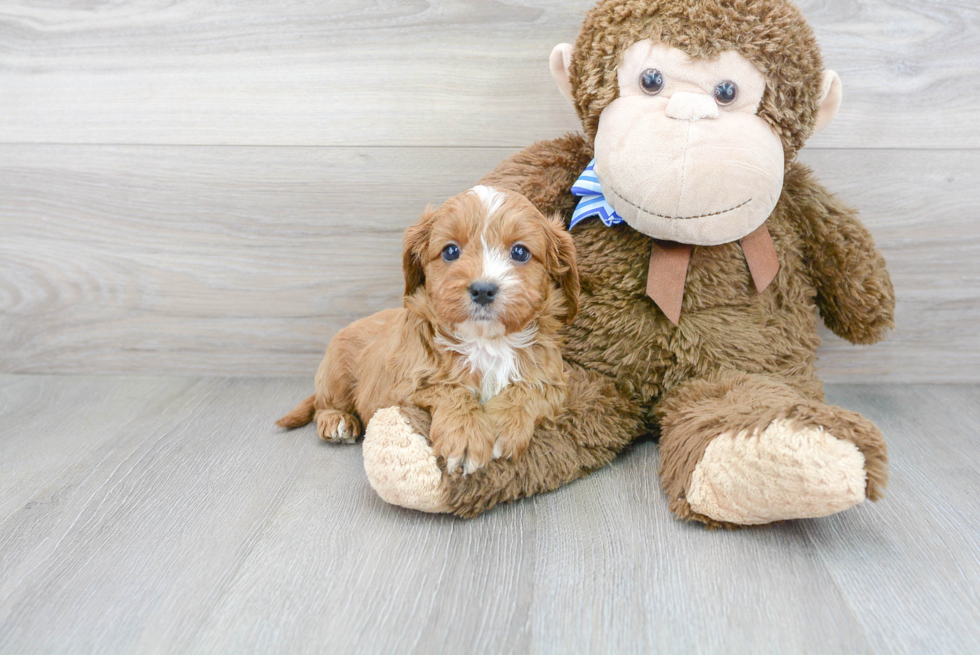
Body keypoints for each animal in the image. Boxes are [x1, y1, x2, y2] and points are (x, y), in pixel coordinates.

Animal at [276, 187, 580, 474]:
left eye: (520, 252)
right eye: (450, 251)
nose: (483, 289)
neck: (485, 342)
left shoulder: (556, 380)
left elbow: (531, 388)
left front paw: (501, 424)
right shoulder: (402, 385)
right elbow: (447, 388)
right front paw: (466, 434)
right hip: (337, 373)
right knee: (323, 405)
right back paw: (337, 421)